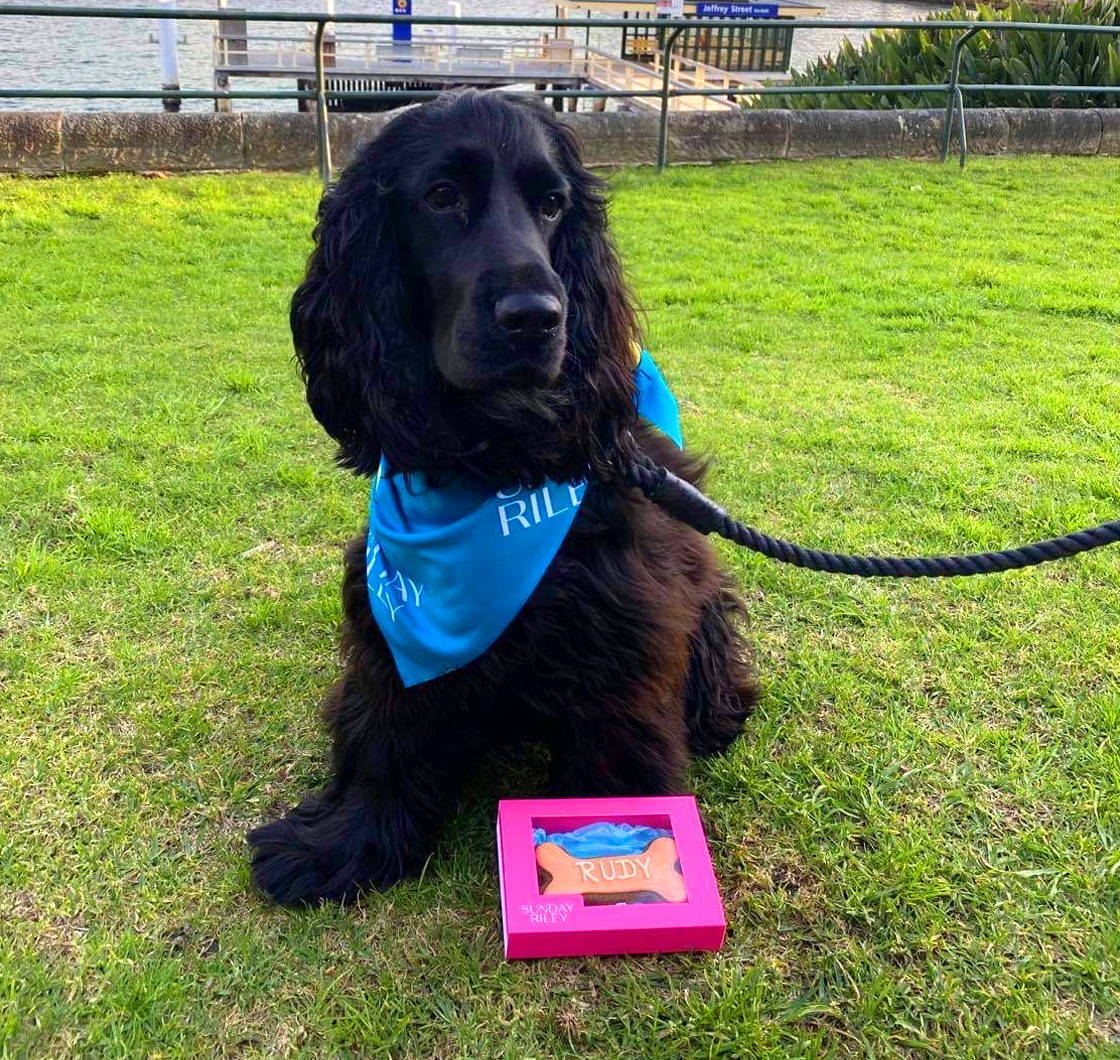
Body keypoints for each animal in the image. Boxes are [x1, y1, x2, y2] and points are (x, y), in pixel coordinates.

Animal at [248, 93, 757, 900]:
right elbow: (384, 731)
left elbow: (615, 756)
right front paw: (342, 843)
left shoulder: (625, 627)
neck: (496, 463)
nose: (536, 318)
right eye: (441, 196)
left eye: (552, 204)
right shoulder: (393, 623)